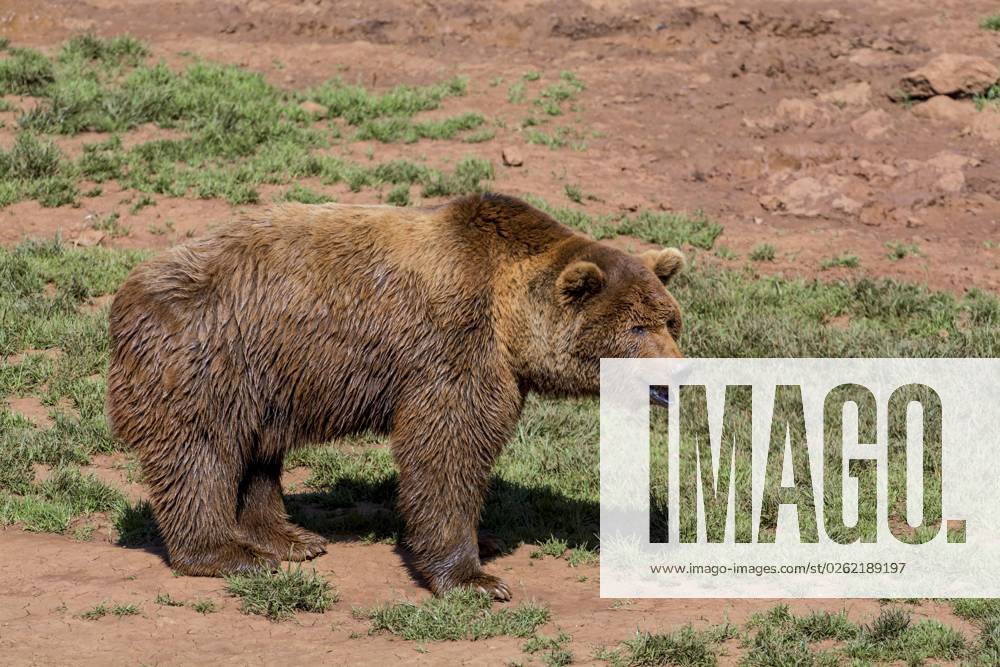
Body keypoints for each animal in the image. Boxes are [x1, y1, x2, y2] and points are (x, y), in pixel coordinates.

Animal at [107, 193, 685, 600]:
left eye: (670, 319)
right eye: (636, 328)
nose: (677, 367)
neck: (509, 318)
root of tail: (125, 293)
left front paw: (487, 539)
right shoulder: (454, 348)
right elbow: (446, 449)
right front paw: (475, 579)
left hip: (265, 377)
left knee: (256, 453)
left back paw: (291, 539)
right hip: (208, 353)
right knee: (200, 452)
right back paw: (228, 553)